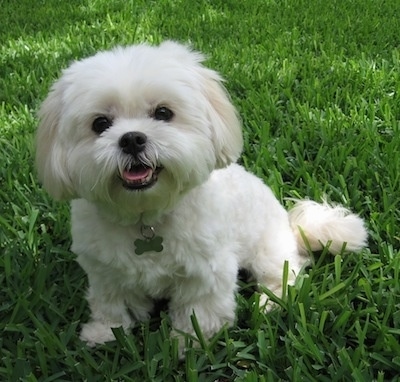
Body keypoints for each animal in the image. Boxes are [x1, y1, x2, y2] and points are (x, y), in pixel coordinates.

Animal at [36, 41, 368, 346]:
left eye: (163, 113)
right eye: (100, 123)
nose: (131, 139)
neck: (146, 216)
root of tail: (291, 225)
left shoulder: (205, 273)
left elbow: (198, 311)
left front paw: (189, 342)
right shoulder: (106, 273)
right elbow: (112, 304)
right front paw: (105, 333)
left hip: (267, 249)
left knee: (287, 273)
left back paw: (269, 303)